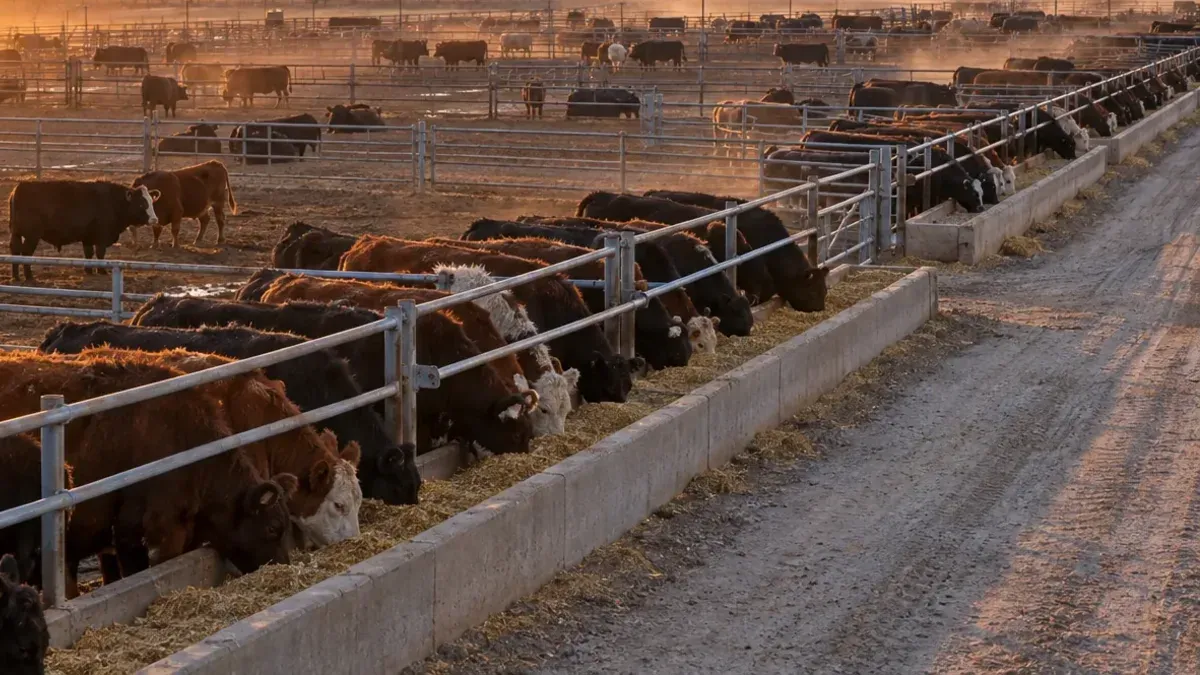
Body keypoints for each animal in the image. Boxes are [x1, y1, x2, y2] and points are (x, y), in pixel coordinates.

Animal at [9, 181, 159, 280]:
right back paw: (29, 277)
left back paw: (16, 277)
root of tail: (18, 189)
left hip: (16, 233)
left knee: (15, 251)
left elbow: (88, 253)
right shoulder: (101, 236)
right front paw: (102, 271)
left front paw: (89, 270)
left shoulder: (88, 237)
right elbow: (100, 253)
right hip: (31, 235)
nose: (154, 219)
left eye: (151, 202)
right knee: (26, 253)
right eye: (141, 203)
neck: (113, 201)